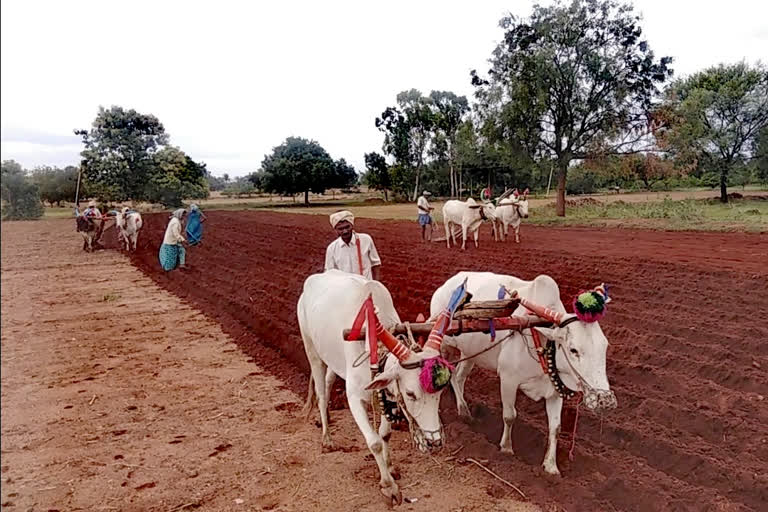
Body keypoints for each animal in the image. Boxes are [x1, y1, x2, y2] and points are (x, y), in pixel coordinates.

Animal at [296, 272, 452, 504]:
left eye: (440, 393)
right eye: (410, 393)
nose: (434, 441)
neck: (374, 351)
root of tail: (315, 278)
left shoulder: (387, 394)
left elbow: (384, 435)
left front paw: (390, 467)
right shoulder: (354, 398)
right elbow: (375, 442)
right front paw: (388, 486)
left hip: (333, 360)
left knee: (329, 380)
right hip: (312, 350)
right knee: (321, 393)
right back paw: (327, 438)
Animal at [432, 272, 616, 476]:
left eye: (604, 345)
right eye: (573, 350)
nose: (605, 400)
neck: (543, 345)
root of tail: (449, 282)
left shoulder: (554, 391)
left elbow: (555, 427)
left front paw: (551, 467)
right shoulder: (508, 380)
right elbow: (509, 416)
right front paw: (506, 449)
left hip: (470, 352)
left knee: (458, 376)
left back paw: (463, 411)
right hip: (444, 345)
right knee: (447, 374)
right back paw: (456, 411)